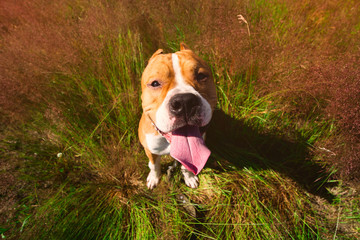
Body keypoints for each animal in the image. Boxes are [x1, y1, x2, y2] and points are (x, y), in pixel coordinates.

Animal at [138, 43, 217, 189]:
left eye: (201, 76)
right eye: (155, 83)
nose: (185, 102)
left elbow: (187, 166)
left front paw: (190, 177)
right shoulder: (150, 150)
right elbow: (154, 166)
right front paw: (154, 178)